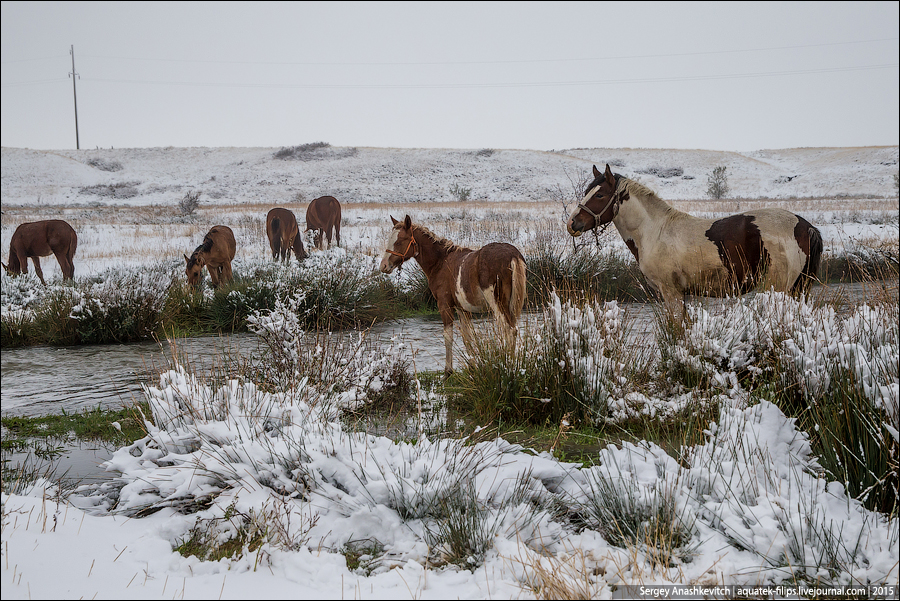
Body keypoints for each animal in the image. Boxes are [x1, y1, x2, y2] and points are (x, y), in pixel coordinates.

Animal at [380, 214, 528, 376]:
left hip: (497, 303)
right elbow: (467, 337)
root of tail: (512, 255)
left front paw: (448, 371)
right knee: (513, 330)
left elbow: (448, 337)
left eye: (399, 241)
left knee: (507, 329)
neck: (441, 262)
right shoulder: (462, 309)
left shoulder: (444, 305)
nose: (384, 266)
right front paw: (472, 367)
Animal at [568, 164, 824, 314]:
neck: (655, 230)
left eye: (600, 195)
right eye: (587, 192)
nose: (572, 223)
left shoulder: (670, 292)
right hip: (797, 289)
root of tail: (804, 225)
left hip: (779, 289)